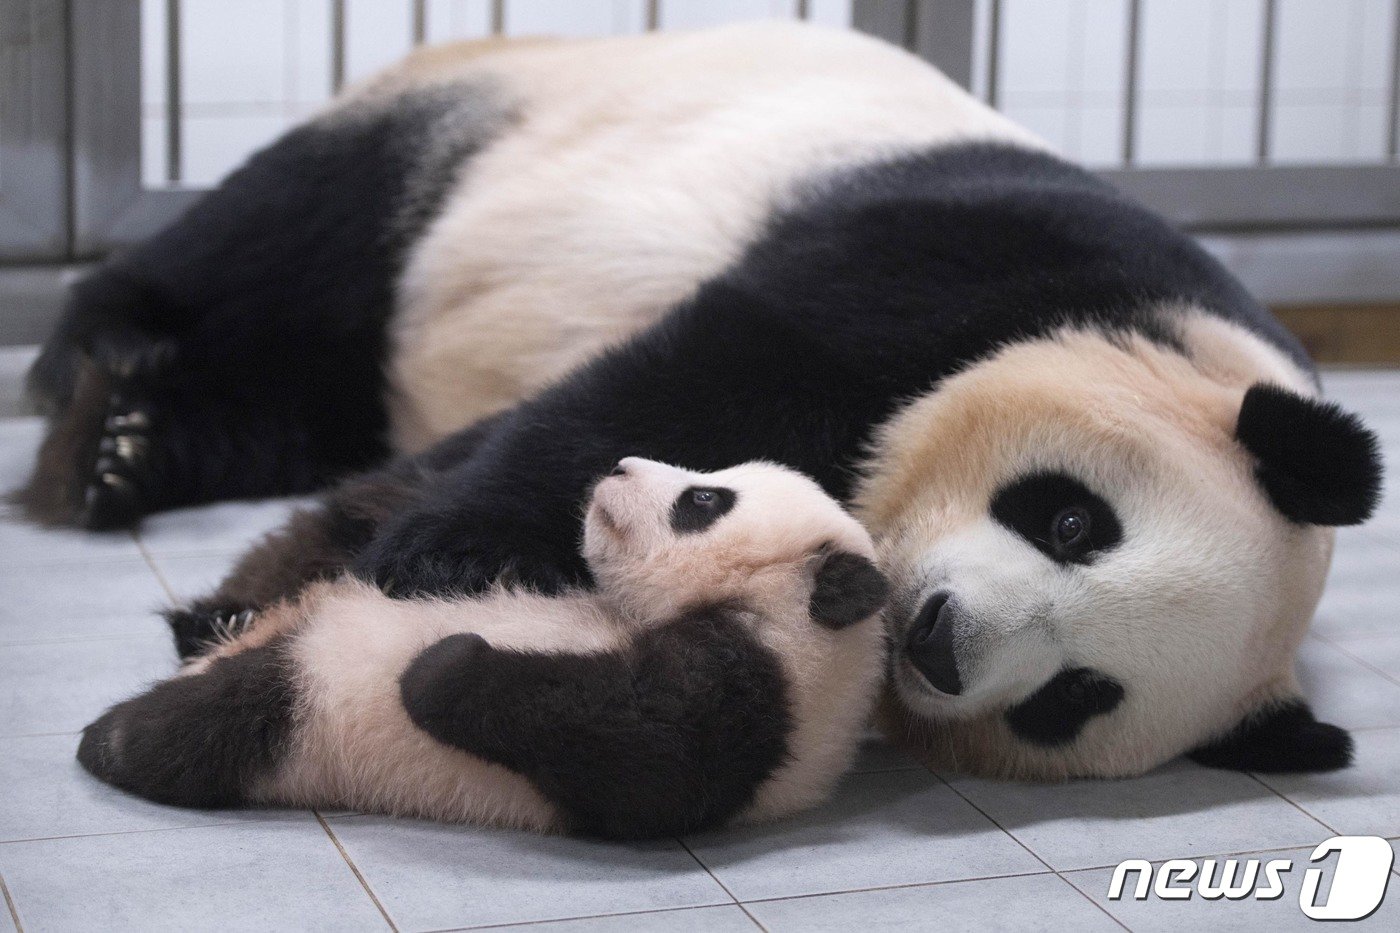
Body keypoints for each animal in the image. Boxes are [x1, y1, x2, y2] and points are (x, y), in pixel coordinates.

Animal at [24, 21, 1388, 778]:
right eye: (1070, 521)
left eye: (1075, 698)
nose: (938, 639)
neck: (1182, 342)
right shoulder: (977, 259)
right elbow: (703, 370)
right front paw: (435, 560)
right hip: (471, 135)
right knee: (285, 248)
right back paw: (95, 406)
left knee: (309, 391)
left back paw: (132, 453)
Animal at [76, 459, 884, 834]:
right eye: (708, 479)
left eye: (703, 500)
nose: (620, 465)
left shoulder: (756, 702)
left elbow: (636, 745)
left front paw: (441, 660)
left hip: (294, 711)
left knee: (199, 733)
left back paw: (109, 740)